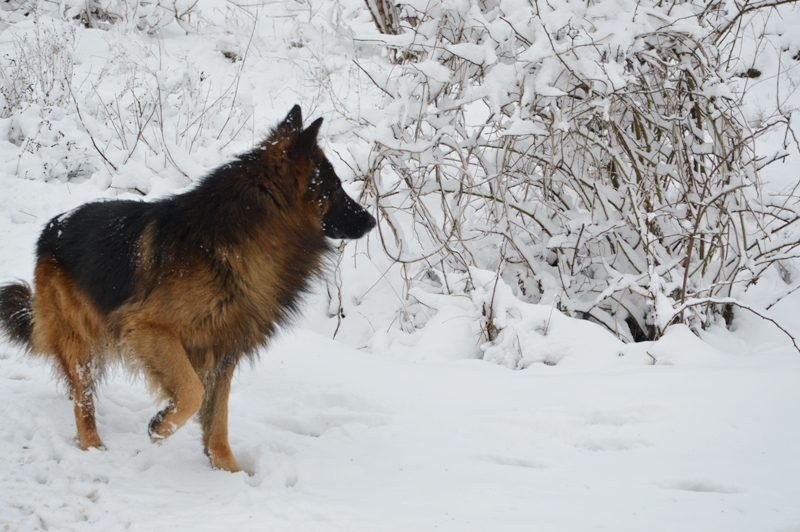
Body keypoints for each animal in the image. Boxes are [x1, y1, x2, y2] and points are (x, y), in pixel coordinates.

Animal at [0, 106, 378, 472]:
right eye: (333, 188)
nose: (371, 220)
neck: (234, 242)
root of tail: (53, 227)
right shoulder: (149, 330)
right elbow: (191, 393)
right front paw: (162, 426)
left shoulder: (221, 353)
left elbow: (218, 422)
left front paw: (228, 471)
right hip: (80, 342)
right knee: (83, 398)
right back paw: (93, 446)